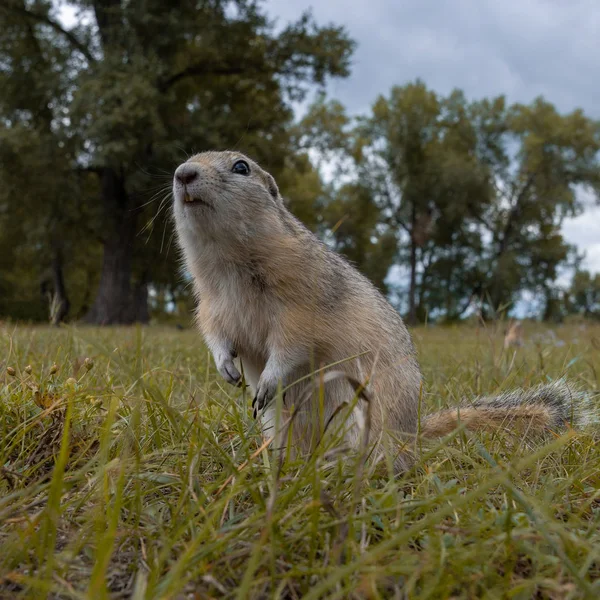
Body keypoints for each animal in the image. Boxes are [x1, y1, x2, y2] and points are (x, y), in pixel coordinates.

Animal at [171, 151, 592, 474]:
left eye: (241, 166)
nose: (182, 173)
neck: (228, 263)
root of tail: (413, 436)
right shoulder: (211, 309)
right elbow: (217, 337)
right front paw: (226, 367)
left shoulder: (301, 308)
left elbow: (290, 349)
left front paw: (268, 380)